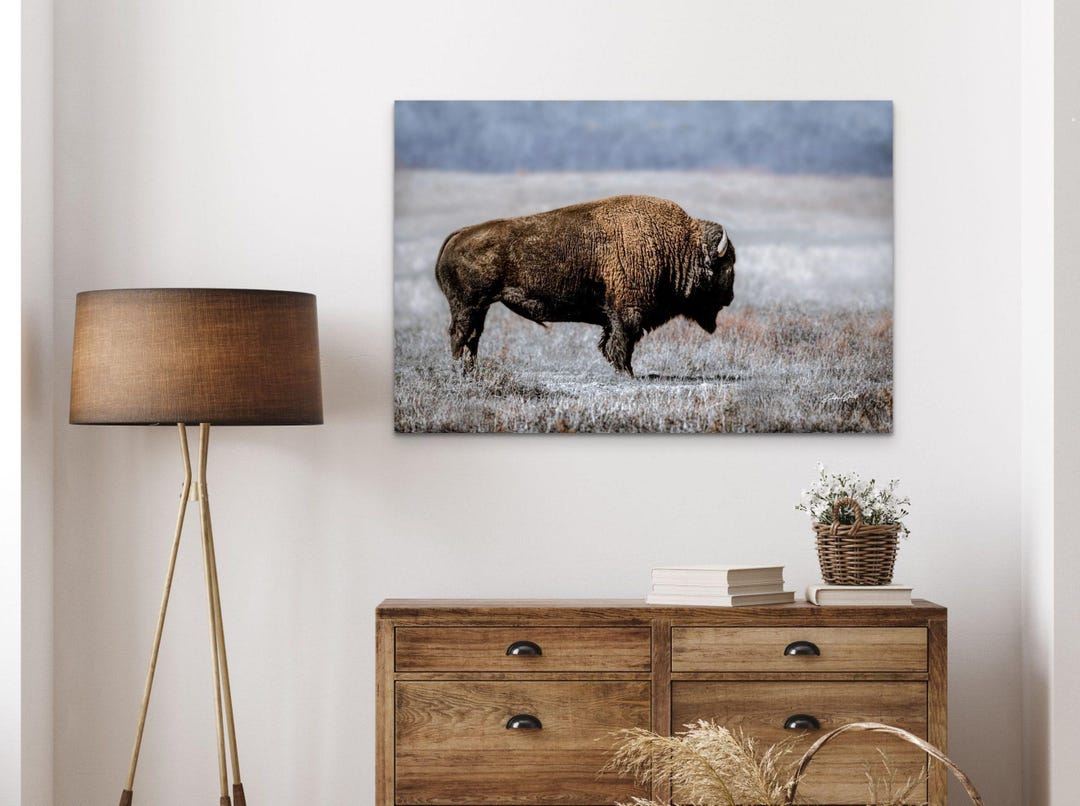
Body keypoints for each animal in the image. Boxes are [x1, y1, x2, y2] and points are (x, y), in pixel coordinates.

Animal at [434, 194, 735, 376]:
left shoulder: (612, 316)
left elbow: (609, 342)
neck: (678, 245)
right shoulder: (628, 313)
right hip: (468, 306)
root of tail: (459, 234)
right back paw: (459, 369)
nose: (730, 297)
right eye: (727, 266)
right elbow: (623, 342)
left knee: (472, 337)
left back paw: (469, 370)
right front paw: (628, 373)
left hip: (480, 307)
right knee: (460, 335)